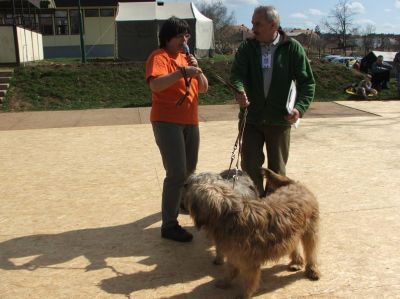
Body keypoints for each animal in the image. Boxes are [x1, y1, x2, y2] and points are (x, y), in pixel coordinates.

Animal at [183, 170, 320, 298]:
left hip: (310, 231)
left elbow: (249, 280)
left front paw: (244, 294)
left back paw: (312, 270)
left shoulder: (249, 260)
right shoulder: (233, 253)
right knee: (295, 245)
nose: (184, 184)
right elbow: (230, 269)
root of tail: (294, 184)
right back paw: (296, 263)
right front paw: (225, 282)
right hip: (293, 233)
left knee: (311, 252)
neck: (229, 216)